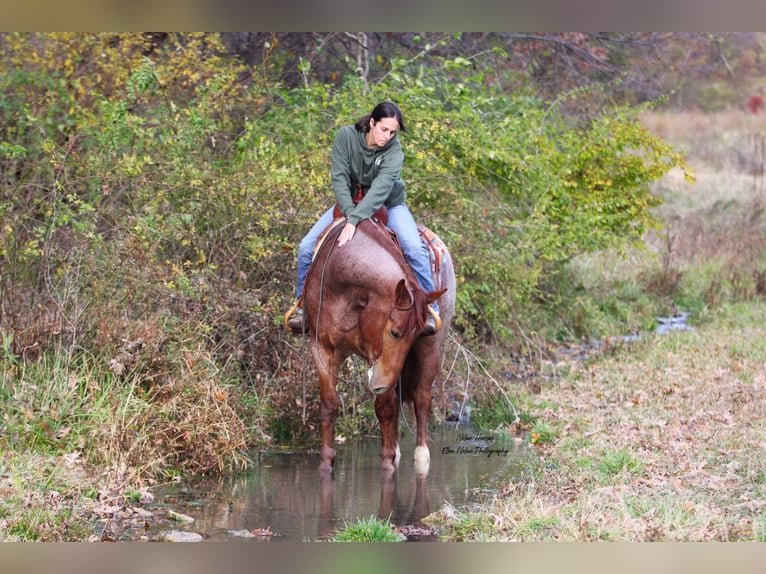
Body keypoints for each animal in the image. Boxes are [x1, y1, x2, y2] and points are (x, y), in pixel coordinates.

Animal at [300, 218, 456, 474]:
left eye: (414, 334)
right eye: (394, 332)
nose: (381, 384)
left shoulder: (380, 361)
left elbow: (385, 407)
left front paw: (387, 462)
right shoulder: (321, 348)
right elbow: (329, 405)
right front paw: (326, 461)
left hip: (431, 348)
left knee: (422, 399)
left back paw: (420, 455)